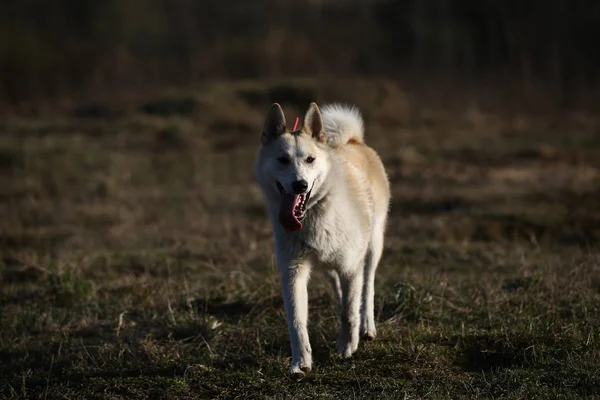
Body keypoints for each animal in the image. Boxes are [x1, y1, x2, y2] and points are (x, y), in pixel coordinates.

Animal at [253, 101, 390, 376]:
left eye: (310, 159)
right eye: (282, 160)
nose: (300, 185)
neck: (314, 215)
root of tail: (355, 141)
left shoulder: (351, 267)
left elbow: (350, 311)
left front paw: (347, 346)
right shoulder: (293, 270)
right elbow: (296, 321)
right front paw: (300, 363)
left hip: (372, 247)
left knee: (367, 287)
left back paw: (367, 327)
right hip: (329, 264)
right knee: (337, 286)